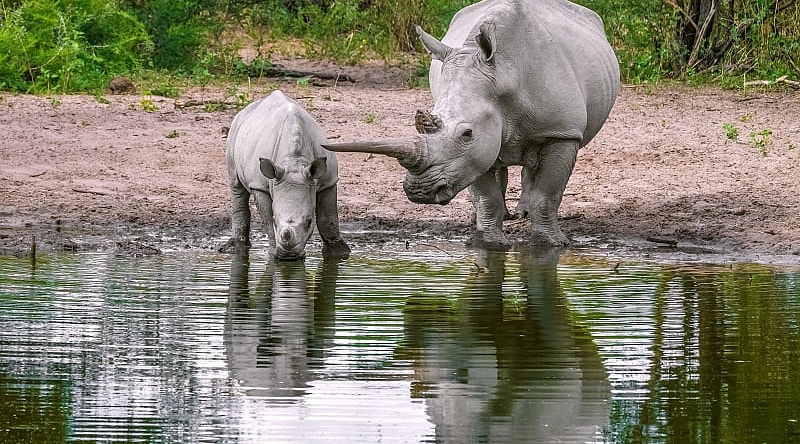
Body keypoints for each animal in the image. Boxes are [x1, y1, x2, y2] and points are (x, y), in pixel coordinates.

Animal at [221, 90, 350, 260]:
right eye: (276, 221)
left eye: (309, 222)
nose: (289, 256)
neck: (294, 161)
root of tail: (246, 110)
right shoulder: (259, 185)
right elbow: (267, 220)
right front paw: (273, 253)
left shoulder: (328, 181)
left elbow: (328, 218)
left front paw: (339, 253)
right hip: (234, 131)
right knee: (236, 185)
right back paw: (235, 248)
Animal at [324, 0, 620, 248]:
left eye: (467, 133)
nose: (420, 191)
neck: (502, 77)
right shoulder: (471, 153)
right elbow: (487, 195)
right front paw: (488, 244)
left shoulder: (562, 133)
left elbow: (547, 195)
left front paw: (551, 244)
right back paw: (480, 218)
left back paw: (521, 214)